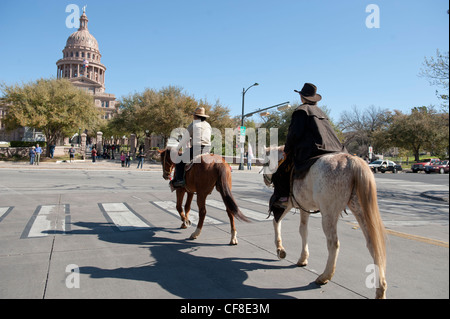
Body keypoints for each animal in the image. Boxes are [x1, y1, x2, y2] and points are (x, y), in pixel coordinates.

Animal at [264, 148, 386, 300]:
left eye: (266, 162)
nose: (265, 179)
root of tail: (351, 160)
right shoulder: (304, 207)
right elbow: (303, 230)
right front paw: (303, 258)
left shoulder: (288, 203)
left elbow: (276, 222)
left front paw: (280, 249)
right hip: (360, 209)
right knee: (373, 244)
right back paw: (380, 290)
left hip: (328, 214)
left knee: (333, 243)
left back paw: (324, 276)